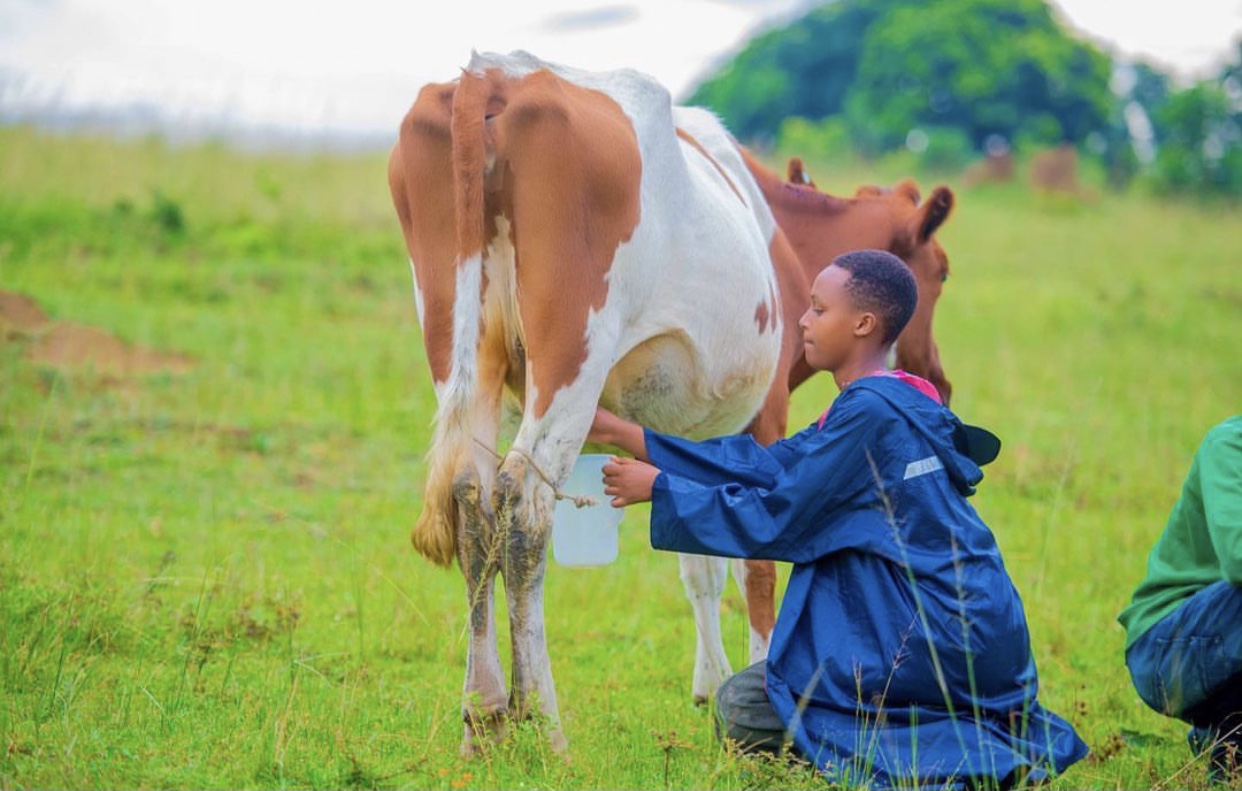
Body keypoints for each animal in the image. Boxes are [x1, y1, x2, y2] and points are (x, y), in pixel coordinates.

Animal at [386, 49, 955, 755]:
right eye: (942, 271)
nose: (938, 378)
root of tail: (496, 72)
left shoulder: (688, 433)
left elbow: (698, 559)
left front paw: (709, 684)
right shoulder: (764, 417)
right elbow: (755, 564)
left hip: (461, 353)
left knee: (473, 501)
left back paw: (484, 721)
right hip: (571, 354)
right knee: (524, 511)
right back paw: (544, 726)